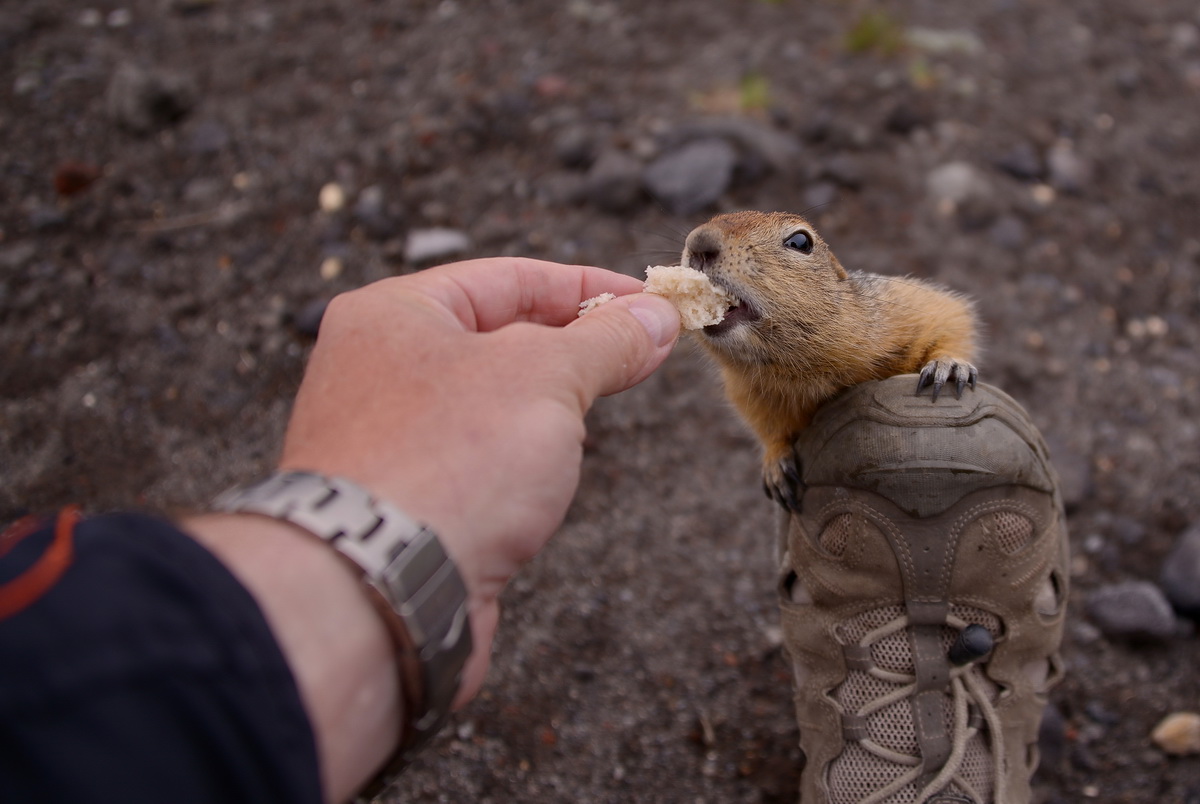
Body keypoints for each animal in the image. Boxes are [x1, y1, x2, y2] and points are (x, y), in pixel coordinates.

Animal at [681, 211, 979, 506]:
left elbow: (950, 316)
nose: (699, 241)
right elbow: (767, 425)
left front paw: (948, 365)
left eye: (800, 241)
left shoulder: (904, 305)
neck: (799, 370)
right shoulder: (751, 392)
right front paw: (776, 465)